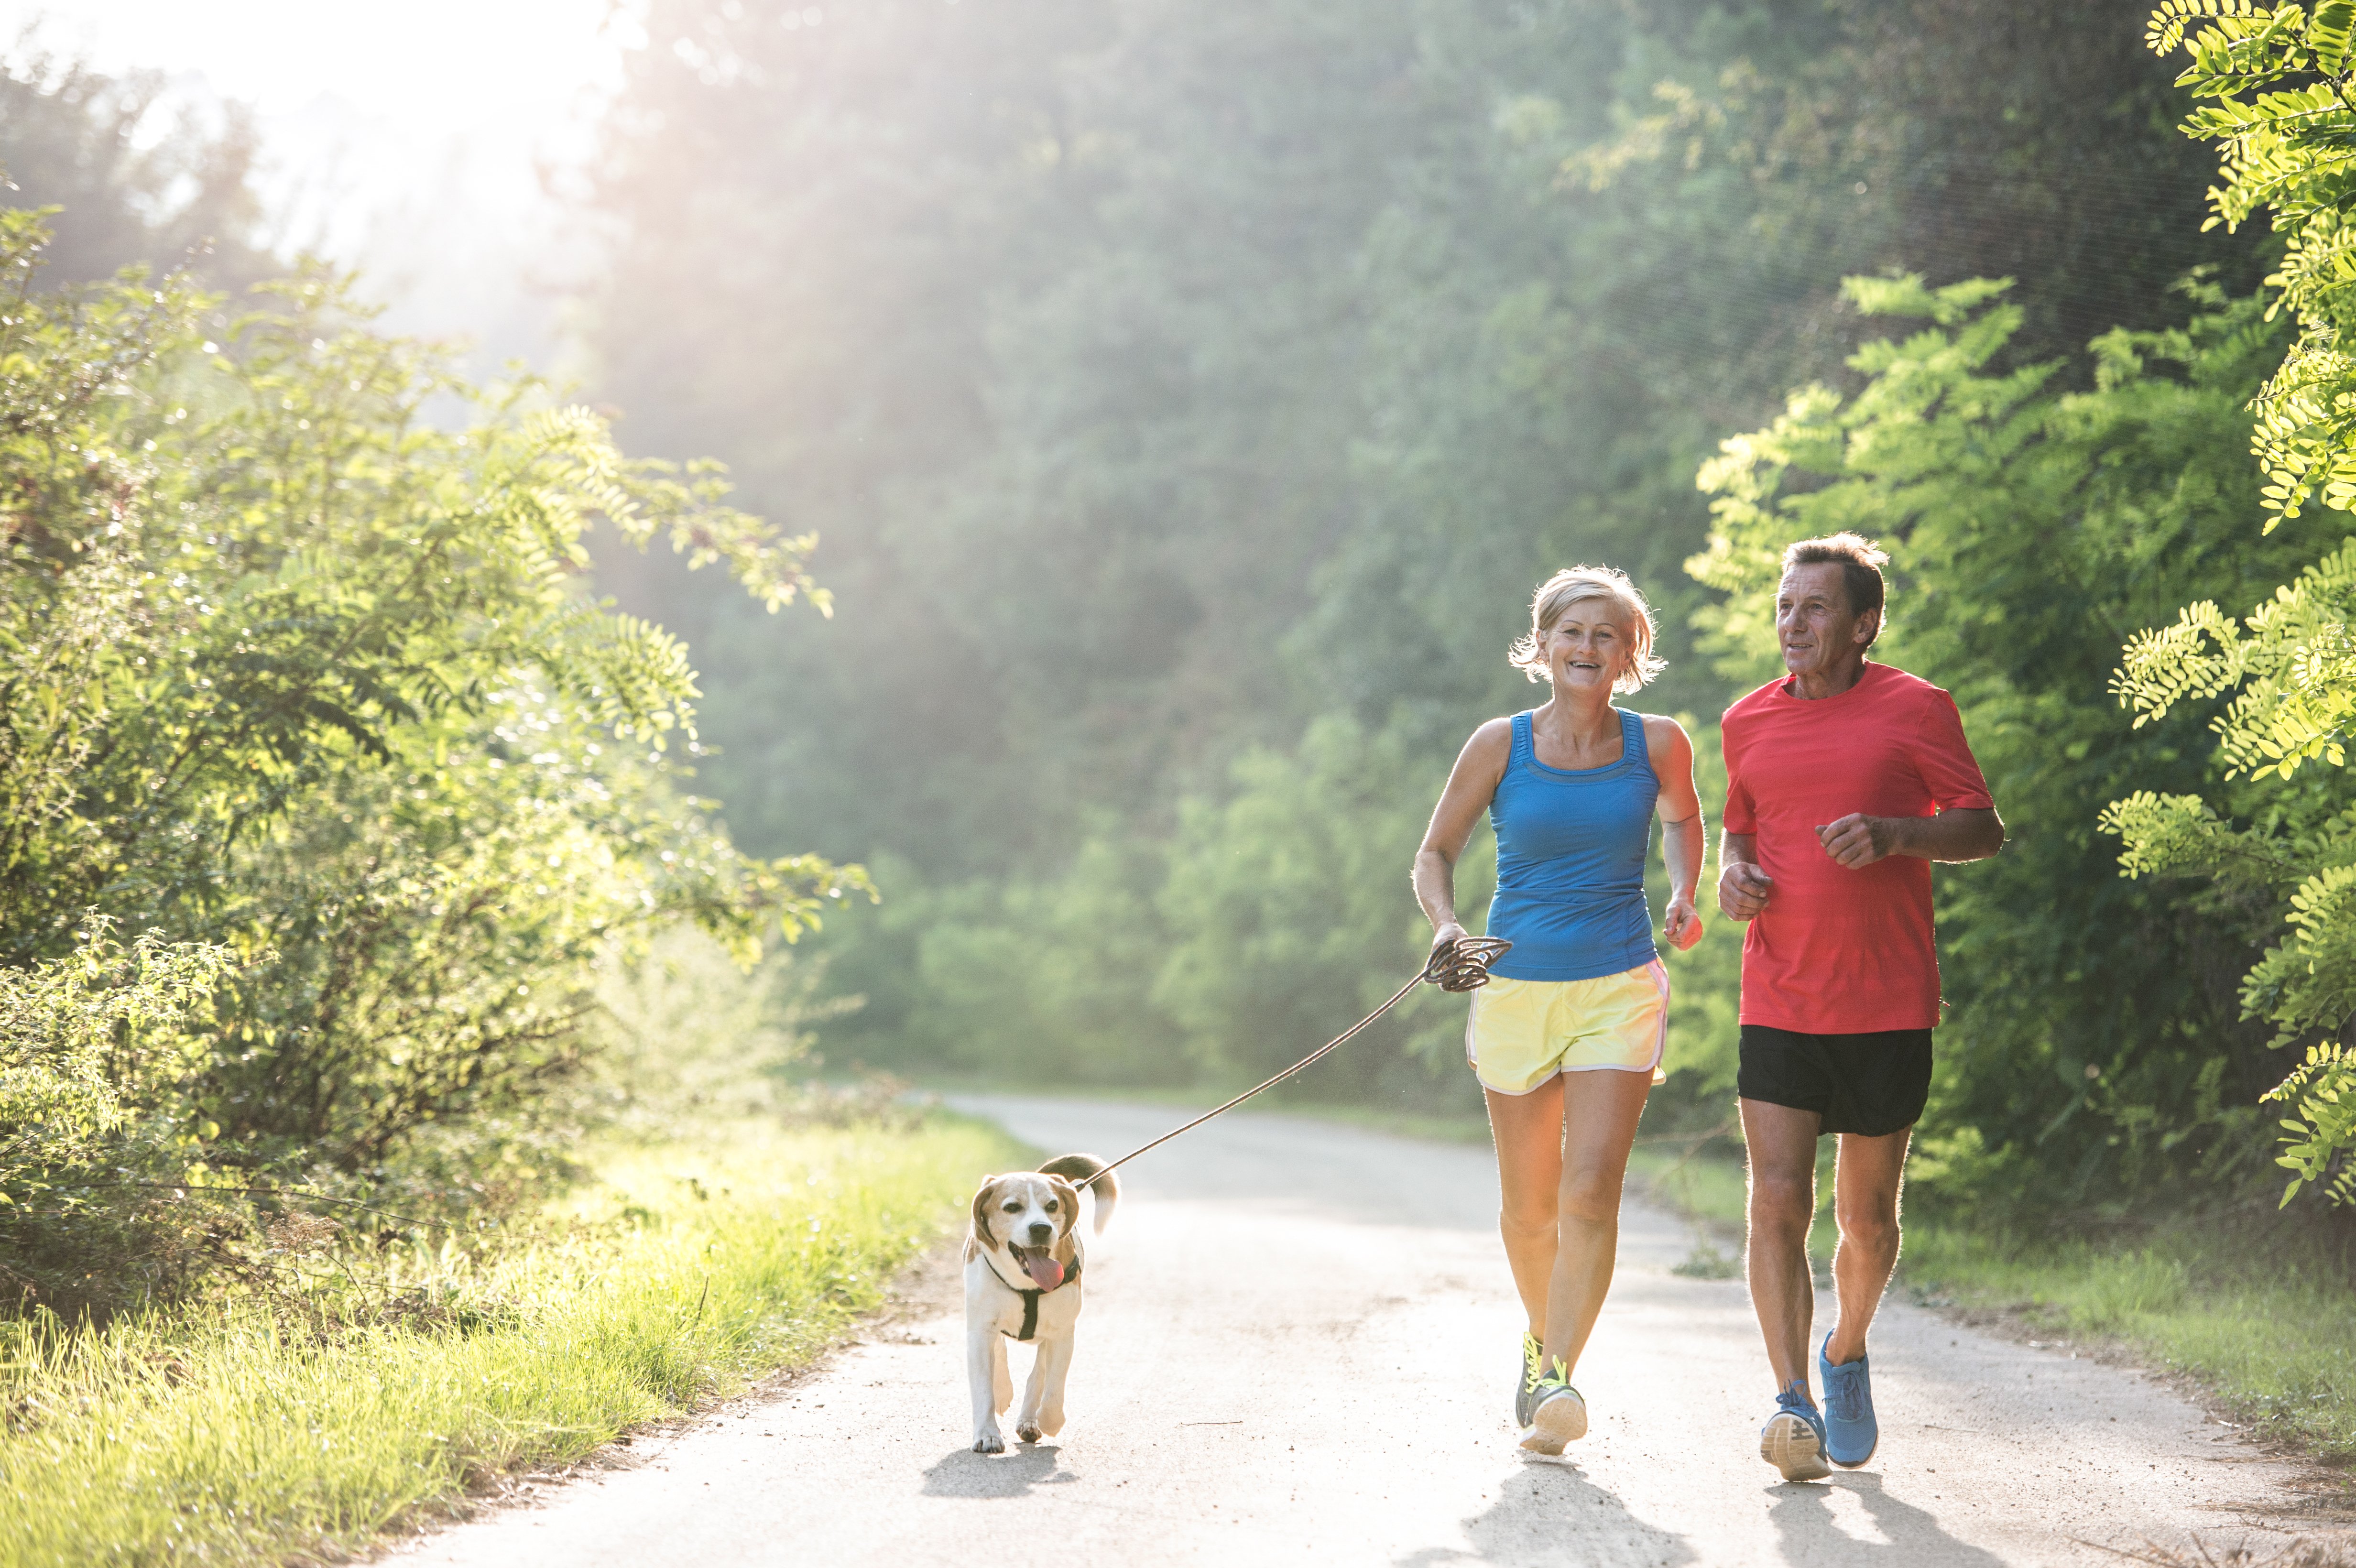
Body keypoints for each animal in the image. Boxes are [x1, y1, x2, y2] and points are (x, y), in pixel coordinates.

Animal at [975, 1144, 1121, 1450]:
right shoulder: (979, 1332)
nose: (1041, 1228)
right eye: (1012, 1208)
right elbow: (984, 1386)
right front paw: (987, 1434)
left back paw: (1031, 1419)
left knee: (1039, 1374)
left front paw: (1050, 1421)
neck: (1026, 1282)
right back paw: (1004, 1393)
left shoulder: (1063, 1334)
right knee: (1000, 1352)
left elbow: (1053, 1387)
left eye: (1052, 1206)